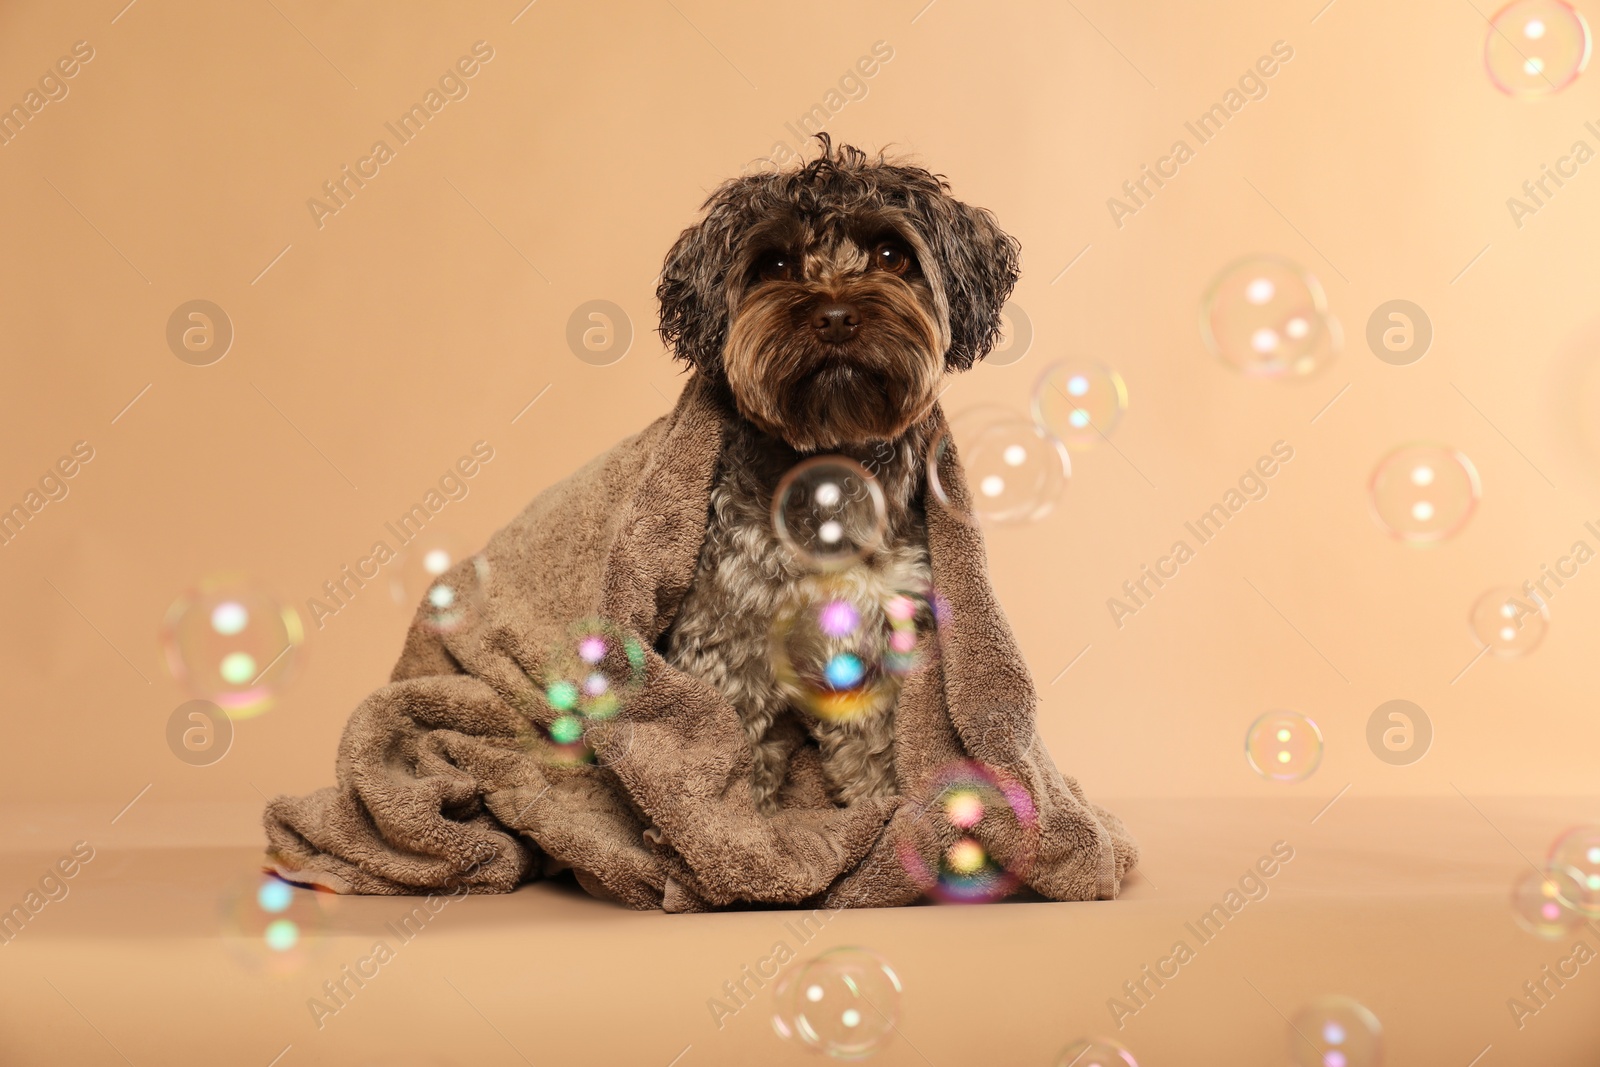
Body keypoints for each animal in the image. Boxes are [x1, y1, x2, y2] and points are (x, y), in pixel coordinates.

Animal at [262, 374, 1139, 908]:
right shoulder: (726, 636)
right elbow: (730, 751)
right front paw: (745, 845)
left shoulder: (872, 638)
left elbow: (870, 750)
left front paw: (889, 826)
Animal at [652, 137, 1017, 812]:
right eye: (774, 264)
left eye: (892, 254)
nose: (837, 316)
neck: (830, 467)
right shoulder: (726, 639)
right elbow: (730, 755)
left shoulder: (876, 637)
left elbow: (871, 748)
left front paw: (879, 817)